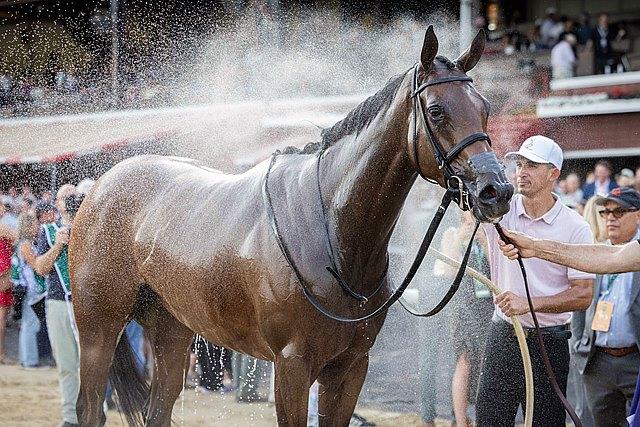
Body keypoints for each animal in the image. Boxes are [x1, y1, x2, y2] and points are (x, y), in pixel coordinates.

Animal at [70, 25, 513, 427]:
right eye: (436, 110)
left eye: (486, 108)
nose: (497, 190)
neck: (333, 233)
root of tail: (102, 186)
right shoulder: (292, 366)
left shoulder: (351, 366)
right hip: (98, 329)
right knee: (90, 408)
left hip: (171, 331)